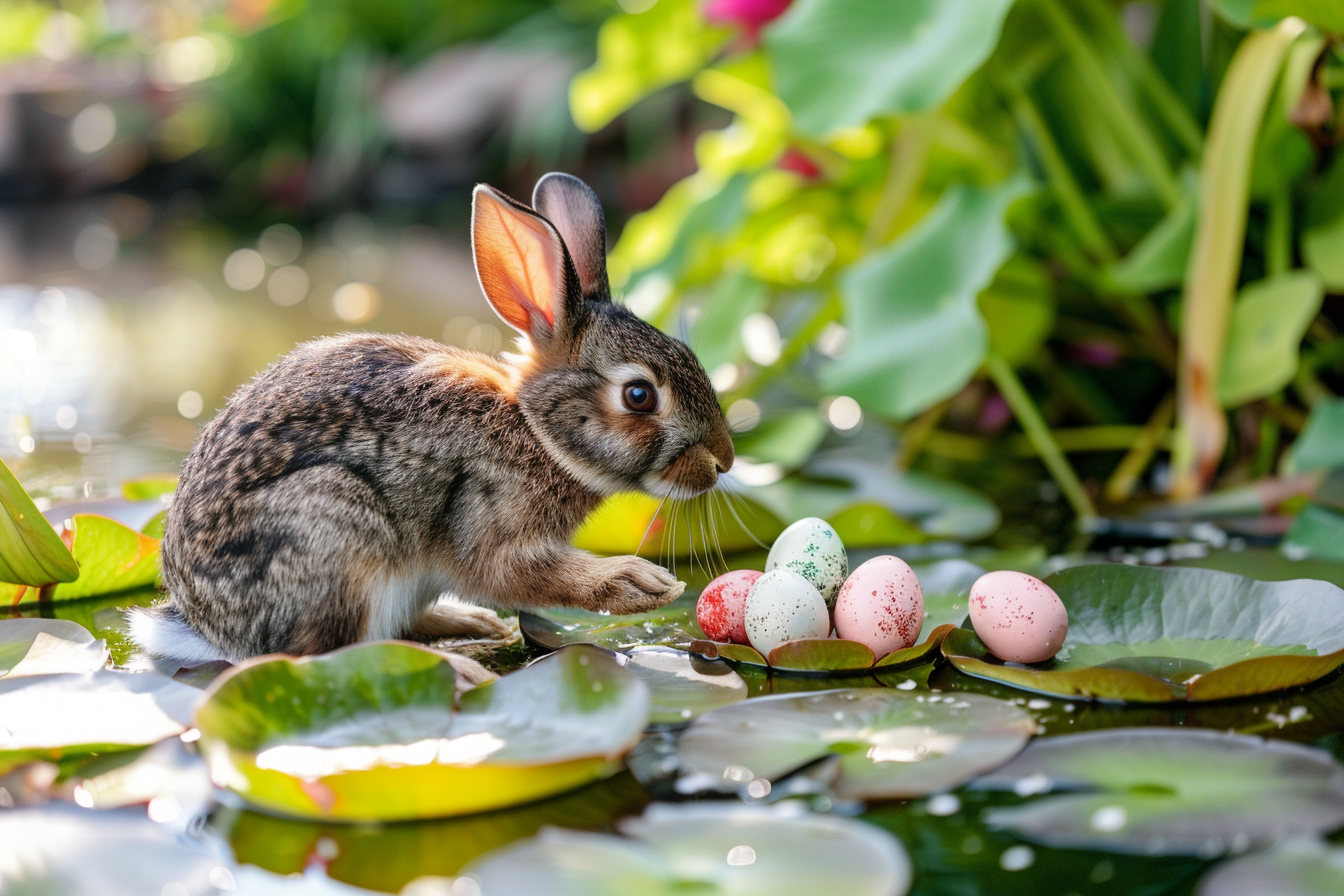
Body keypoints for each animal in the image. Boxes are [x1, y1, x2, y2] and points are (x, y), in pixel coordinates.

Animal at [128, 172, 734, 669]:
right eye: (639, 395)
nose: (724, 461)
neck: (536, 431)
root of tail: (210, 627)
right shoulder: (488, 528)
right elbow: (516, 574)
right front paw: (643, 583)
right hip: (340, 538)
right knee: (322, 655)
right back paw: (458, 665)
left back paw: (473, 626)